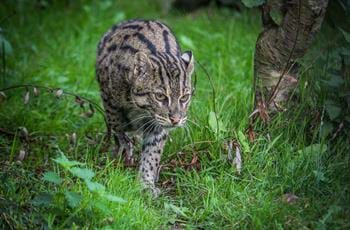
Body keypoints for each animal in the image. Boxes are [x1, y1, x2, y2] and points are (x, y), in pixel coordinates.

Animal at [95, 20, 194, 196]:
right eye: (160, 96)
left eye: (184, 97)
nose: (175, 120)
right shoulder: (108, 97)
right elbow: (117, 123)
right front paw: (125, 145)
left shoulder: (158, 126)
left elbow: (152, 154)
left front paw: (146, 183)